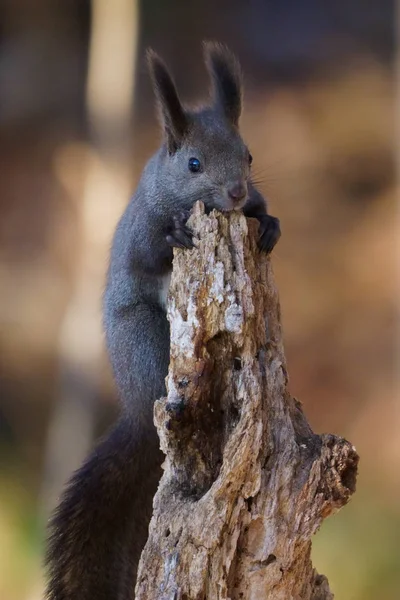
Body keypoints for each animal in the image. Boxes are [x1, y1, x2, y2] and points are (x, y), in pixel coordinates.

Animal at [45, 39, 280, 596]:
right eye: (193, 163)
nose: (237, 193)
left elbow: (265, 216)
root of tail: (133, 408)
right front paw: (177, 236)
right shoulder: (140, 232)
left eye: (249, 155)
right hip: (146, 342)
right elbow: (147, 257)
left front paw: (268, 224)